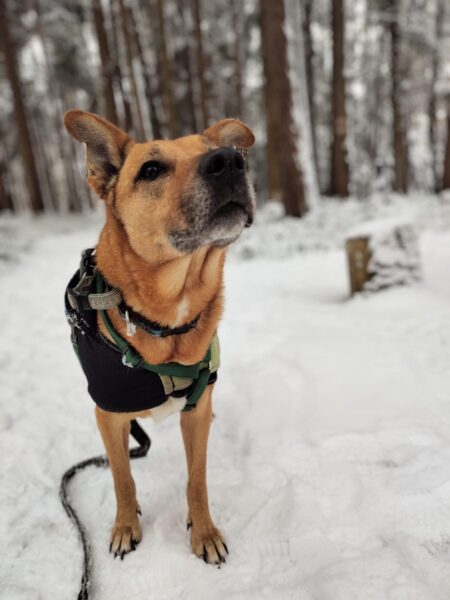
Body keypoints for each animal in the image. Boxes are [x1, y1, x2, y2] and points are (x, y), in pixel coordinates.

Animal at [64, 110, 255, 564]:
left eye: (221, 150)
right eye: (150, 170)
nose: (230, 161)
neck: (166, 319)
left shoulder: (197, 410)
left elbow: (196, 479)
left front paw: (203, 531)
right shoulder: (107, 415)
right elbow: (122, 477)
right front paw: (124, 526)